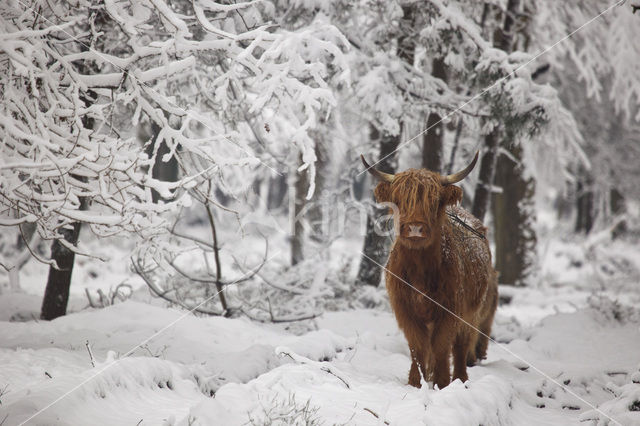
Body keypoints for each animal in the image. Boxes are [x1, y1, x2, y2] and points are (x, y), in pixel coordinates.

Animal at [362, 153, 498, 390]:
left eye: (433, 202)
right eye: (399, 200)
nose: (415, 228)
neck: (419, 270)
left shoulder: (450, 311)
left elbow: (441, 346)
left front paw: (442, 383)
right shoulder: (405, 309)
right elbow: (418, 346)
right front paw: (416, 383)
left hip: (472, 312)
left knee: (461, 347)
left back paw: (460, 379)